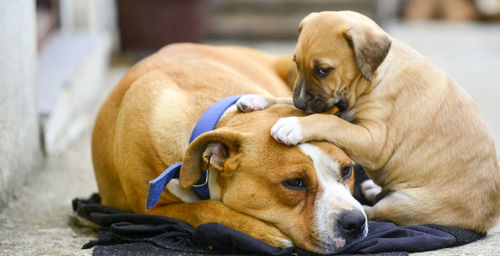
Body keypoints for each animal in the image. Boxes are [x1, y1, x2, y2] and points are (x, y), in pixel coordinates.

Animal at [92, 43, 368, 253]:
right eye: (294, 183)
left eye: (346, 171)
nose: (354, 221)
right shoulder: (152, 211)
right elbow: (203, 210)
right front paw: (265, 233)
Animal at [240, 11, 498, 233]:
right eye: (296, 63)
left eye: (324, 70)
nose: (301, 104)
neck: (374, 77)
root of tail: (488, 219)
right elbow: (291, 102)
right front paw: (257, 99)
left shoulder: (374, 141)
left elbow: (329, 121)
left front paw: (293, 124)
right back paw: (372, 188)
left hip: (408, 203)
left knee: (377, 213)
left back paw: (364, 206)